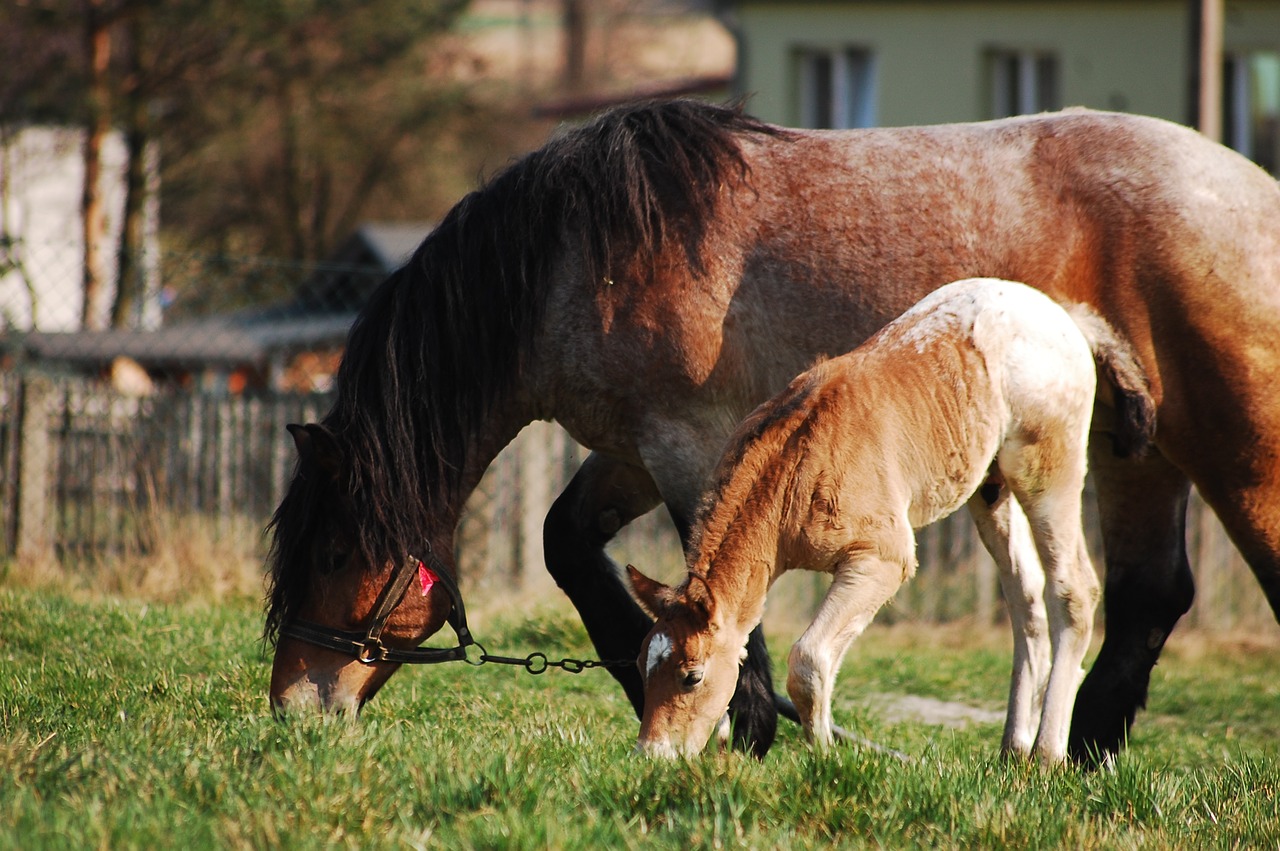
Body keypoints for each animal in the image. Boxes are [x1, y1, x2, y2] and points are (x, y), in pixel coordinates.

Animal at [624, 278, 1157, 762]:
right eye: (641, 661)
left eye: (691, 676)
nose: (651, 756)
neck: (798, 462)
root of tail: (1066, 318)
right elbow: (814, 657)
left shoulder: (884, 559)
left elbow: (810, 660)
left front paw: (826, 759)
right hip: (992, 490)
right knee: (1025, 600)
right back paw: (1013, 748)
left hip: (1048, 468)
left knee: (1074, 590)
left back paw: (1047, 754)